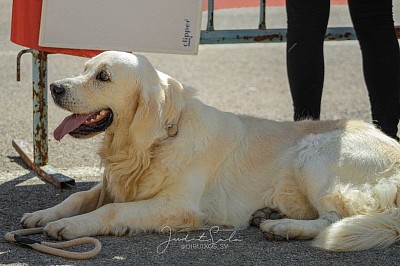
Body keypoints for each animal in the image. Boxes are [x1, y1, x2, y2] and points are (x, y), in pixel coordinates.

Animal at [20, 51, 400, 251]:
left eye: (103, 76)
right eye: (84, 68)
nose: (54, 87)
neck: (151, 145)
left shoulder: (179, 207)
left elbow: (111, 211)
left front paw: (68, 227)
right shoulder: (113, 183)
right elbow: (77, 197)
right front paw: (44, 216)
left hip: (314, 153)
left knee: (336, 217)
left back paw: (284, 227)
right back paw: (270, 214)